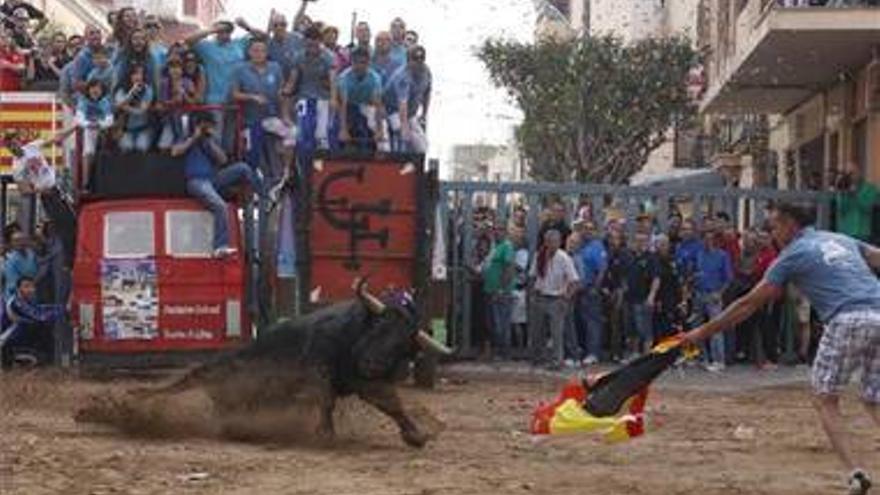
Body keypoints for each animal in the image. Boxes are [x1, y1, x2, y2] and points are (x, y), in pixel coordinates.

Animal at [82, 286, 450, 450]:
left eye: (401, 344)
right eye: (378, 329)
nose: (373, 362)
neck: (352, 335)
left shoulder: (366, 381)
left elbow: (391, 403)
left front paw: (415, 435)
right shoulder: (320, 368)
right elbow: (324, 399)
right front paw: (325, 435)